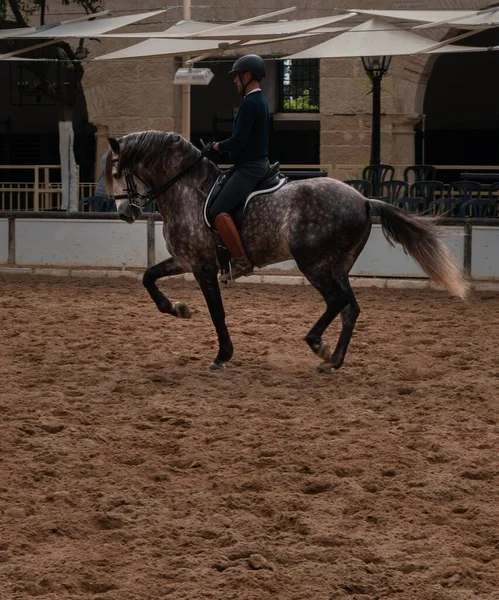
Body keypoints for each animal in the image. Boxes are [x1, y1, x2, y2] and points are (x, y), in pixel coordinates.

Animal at [105, 131, 468, 372]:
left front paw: (223, 355)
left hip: (313, 263)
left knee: (337, 301)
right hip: (338, 265)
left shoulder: (203, 266)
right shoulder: (186, 259)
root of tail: (364, 199)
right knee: (350, 308)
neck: (186, 191)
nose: (125, 214)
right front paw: (177, 309)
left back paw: (318, 344)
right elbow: (148, 277)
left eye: (117, 173)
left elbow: (216, 312)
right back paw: (334, 361)